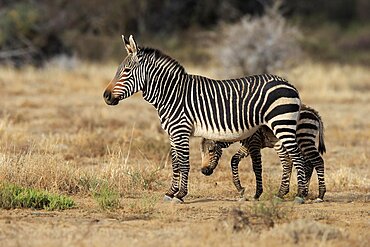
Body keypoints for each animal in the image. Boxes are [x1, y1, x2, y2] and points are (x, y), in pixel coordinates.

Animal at [105, 34, 310, 203]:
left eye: (126, 71)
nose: (106, 96)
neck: (171, 94)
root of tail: (289, 84)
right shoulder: (172, 133)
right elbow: (175, 163)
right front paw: (170, 192)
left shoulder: (180, 130)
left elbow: (184, 163)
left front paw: (180, 195)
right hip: (274, 130)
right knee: (288, 159)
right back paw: (281, 194)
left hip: (282, 124)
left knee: (297, 156)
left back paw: (300, 195)